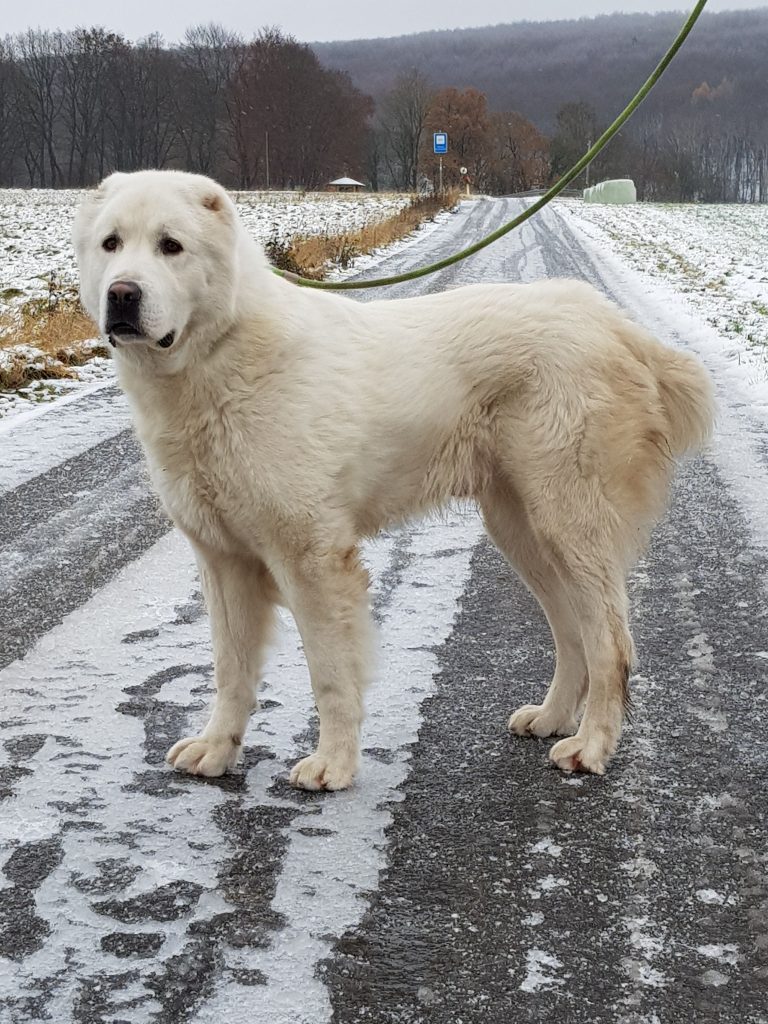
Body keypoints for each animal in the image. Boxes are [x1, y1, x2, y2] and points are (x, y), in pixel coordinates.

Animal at [73, 170, 715, 790]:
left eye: (171, 246)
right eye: (111, 244)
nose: (122, 295)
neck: (216, 358)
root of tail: (616, 326)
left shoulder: (312, 558)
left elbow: (331, 674)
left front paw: (332, 765)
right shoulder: (223, 561)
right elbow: (231, 672)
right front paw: (216, 751)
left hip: (570, 526)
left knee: (610, 645)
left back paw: (591, 747)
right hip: (523, 530)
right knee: (573, 633)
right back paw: (554, 718)